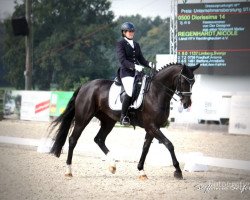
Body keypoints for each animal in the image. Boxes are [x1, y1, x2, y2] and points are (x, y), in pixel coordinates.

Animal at [49, 63, 200, 180]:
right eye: (183, 81)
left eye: (193, 82)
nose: (187, 104)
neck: (156, 92)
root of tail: (85, 86)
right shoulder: (152, 126)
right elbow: (169, 144)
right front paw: (178, 171)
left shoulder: (152, 128)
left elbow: (145, 148)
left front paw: (141, 171)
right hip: (83, 118)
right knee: (73, 139)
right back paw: (69, 171)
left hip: (108, 121)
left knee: (99, 139)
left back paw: (112, 165)